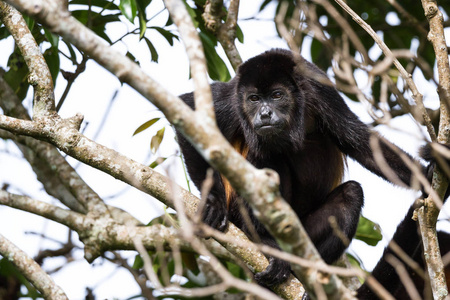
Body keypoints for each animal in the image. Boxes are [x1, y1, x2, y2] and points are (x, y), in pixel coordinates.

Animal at [176, 48, 428, 288]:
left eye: (277, 95)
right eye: (254, 98)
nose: (264, 114)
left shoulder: (320, 89)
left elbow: (360, 141)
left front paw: (428, 175)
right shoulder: (231, 99)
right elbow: (187, 111)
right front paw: (214, 202)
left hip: (305, 233)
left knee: (351, 194)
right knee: (267, 156)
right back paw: (267, 243)